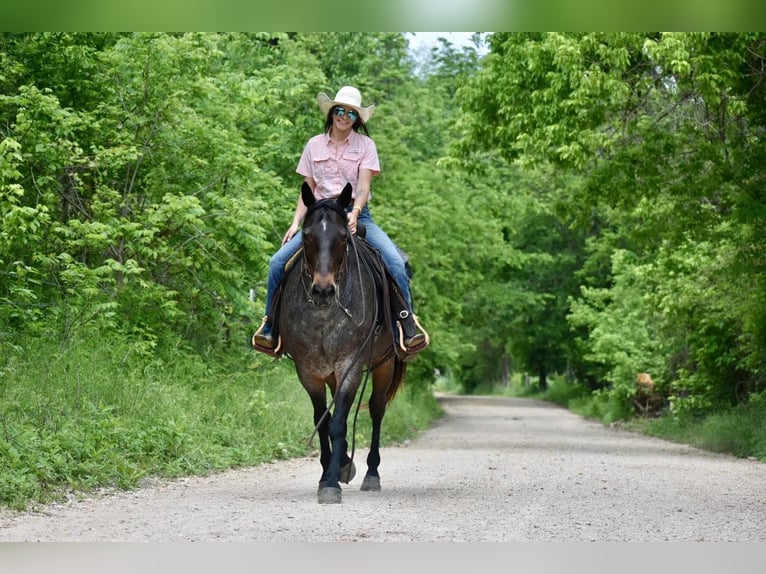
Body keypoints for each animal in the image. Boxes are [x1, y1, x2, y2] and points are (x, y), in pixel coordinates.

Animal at [274, 182, 408, 506]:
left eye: (344, 238)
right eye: (307, 236)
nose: (323, 291)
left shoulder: (351, 366)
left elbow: (338, 423)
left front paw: (332, 483)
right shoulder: (308, 370)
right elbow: (323, 420)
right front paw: (328, 474)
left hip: (384, 365)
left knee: (376, 409)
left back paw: (371, 474)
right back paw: (346, 463)